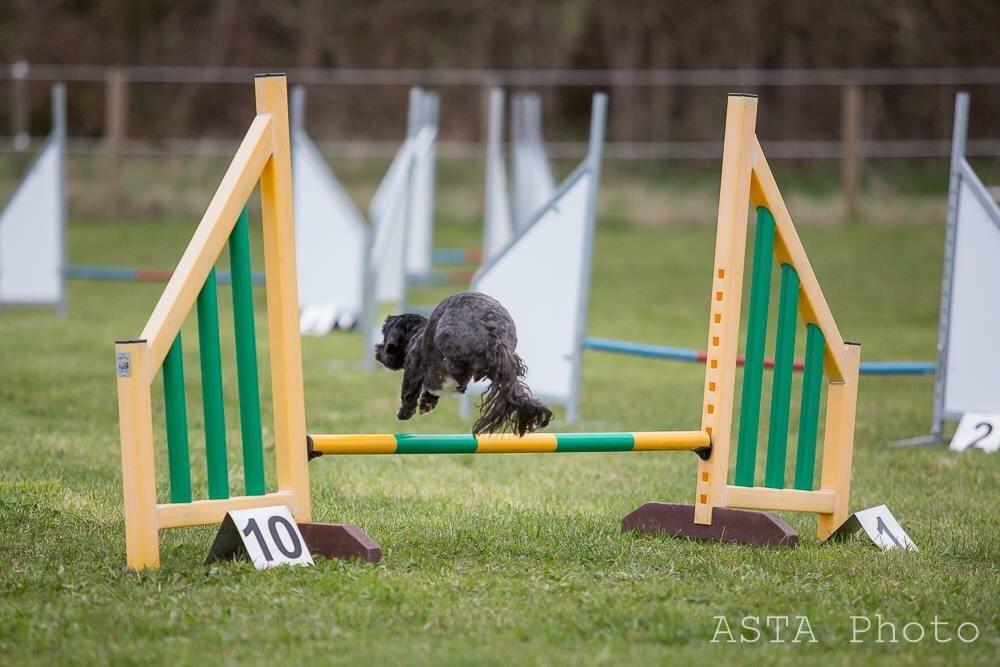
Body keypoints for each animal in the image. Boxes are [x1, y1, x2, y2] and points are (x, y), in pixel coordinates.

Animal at [374, 290, 552, 436]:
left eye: (384, 335)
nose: (378, 351)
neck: (416, 334)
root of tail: (494, 334)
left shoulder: (413, 367)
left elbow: (408, 393)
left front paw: (405, 412)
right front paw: (427, 401)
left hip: (445, 336)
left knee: (454, 369)